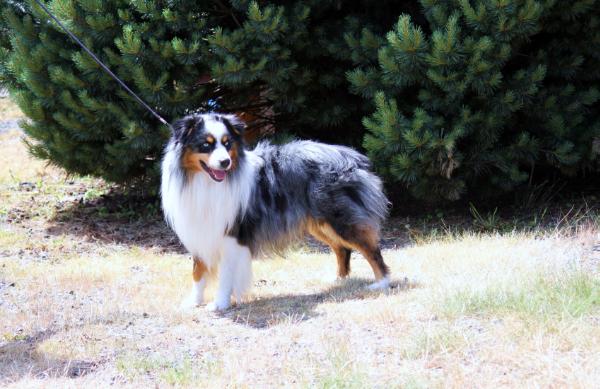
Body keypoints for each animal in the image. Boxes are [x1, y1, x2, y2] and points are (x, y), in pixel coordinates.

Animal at [162, 111, 392, 310]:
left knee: (370, 249)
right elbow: (198, 272)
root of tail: (351, 156)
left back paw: (382, 282)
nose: (225, 162)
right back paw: (338, 279)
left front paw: (220, 304)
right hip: (318, 222)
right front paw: (194, 301)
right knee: (342, 248)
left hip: (340, 218)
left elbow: (226, 274)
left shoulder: (232, 234)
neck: (205, 183)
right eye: (206, 145)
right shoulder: (201, 230)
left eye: (227, 144)